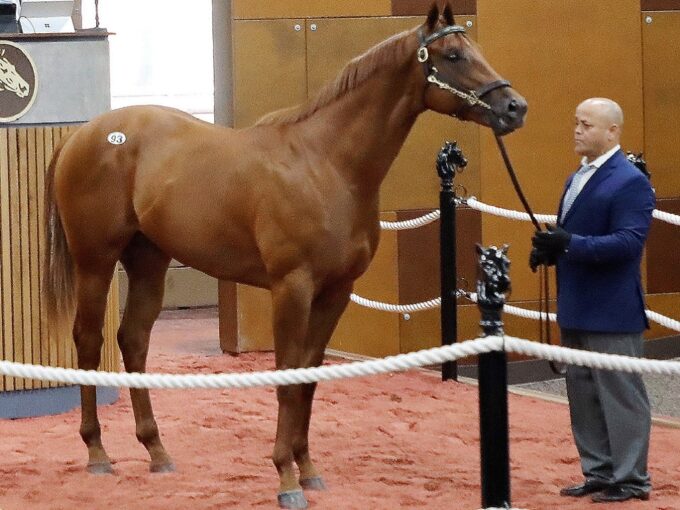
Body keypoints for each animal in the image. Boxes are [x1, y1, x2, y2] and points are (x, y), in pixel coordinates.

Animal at [42, 2, 528, 506]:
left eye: (474, 48)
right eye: (453, 55)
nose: (515, 107)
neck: (326, 164)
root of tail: (83, 135)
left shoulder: (335, 293)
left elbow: (308, 379)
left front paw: (308, 469)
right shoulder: (291, 288)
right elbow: (286, 378)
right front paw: (286, 478)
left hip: (149, 262)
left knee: (133, 340)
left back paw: (156, 451)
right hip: (95, 262)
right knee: (88, 340)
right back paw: (97, 453)